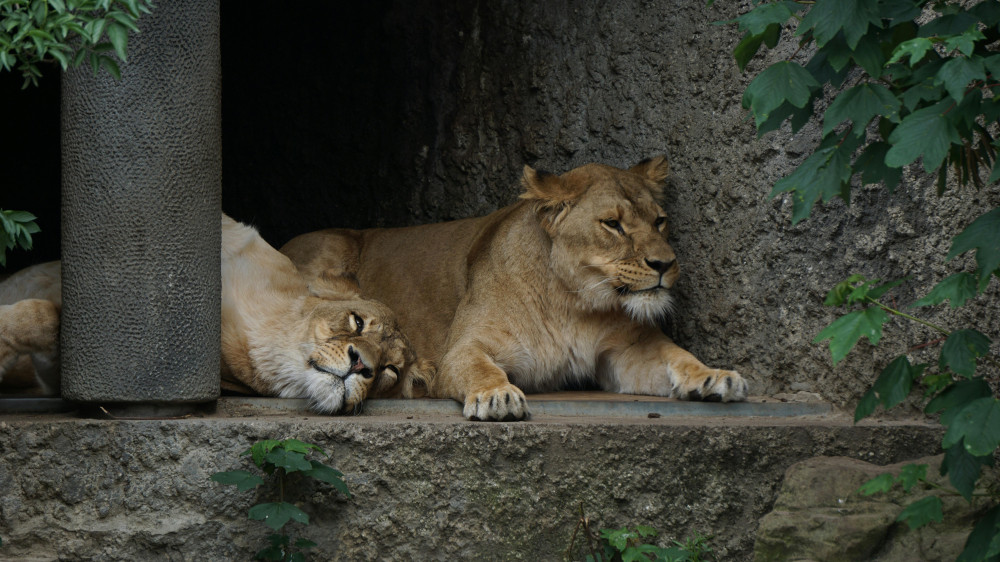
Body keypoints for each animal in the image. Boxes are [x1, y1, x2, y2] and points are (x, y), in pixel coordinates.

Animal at [282, 155, 752, 418]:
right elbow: (480, 368)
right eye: (613, 224)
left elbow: (676, 356)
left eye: (660, 221)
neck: (573, 304)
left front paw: (714, 377)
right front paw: (498, 396)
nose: (665, 264)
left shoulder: (623, 353)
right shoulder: (461, 349)